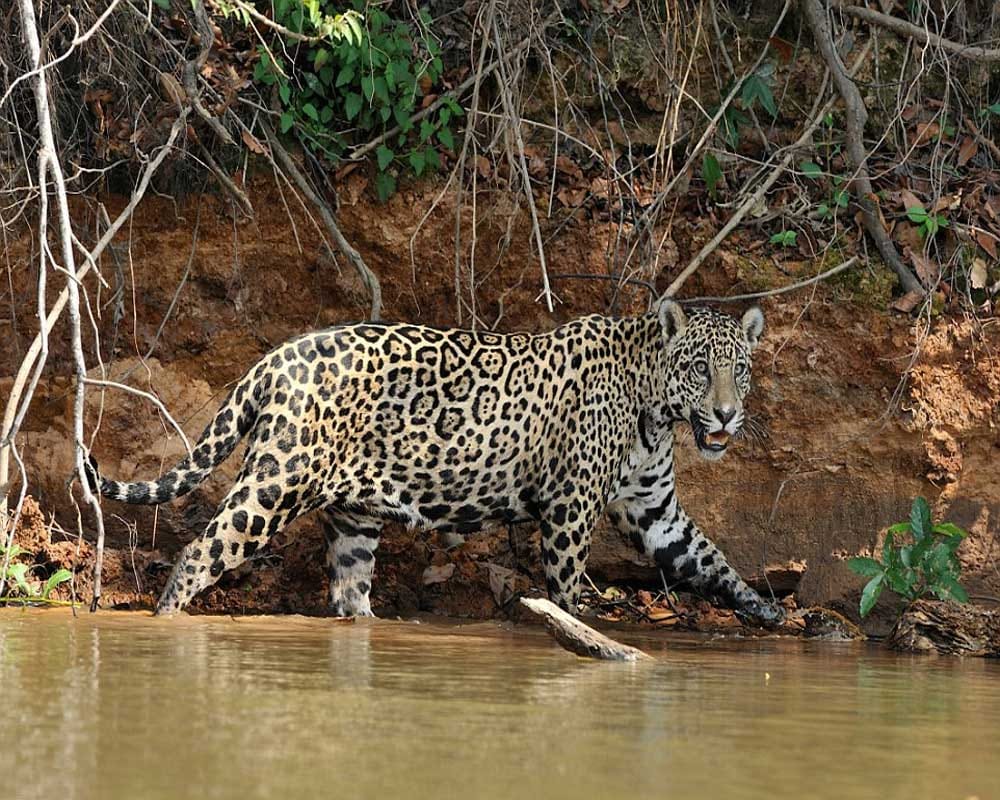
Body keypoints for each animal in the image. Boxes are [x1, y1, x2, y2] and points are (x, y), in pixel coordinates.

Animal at [87, 297, 784, 626]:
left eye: (740, 369)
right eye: (700, 368)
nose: (726, 416)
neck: (654, 412)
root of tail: (276, 356)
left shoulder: (653, 508)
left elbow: (709, 556)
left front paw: (763, 607)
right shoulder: (570, 507)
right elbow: (565, 584)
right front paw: (581, 627)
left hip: (352, 517)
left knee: (348, 591)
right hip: (276, 483)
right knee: (199, 552)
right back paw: (164, 625)